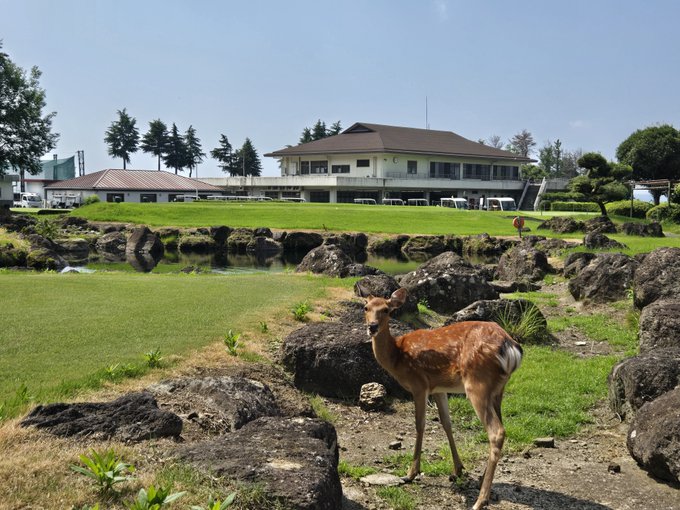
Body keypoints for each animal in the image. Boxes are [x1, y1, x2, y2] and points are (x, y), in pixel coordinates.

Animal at [362, 288, 523, 510]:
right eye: (366, 307)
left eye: (386, 309)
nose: (372, 327)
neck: (397, 357)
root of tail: (511, 348)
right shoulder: (439, 388)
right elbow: (446, 423)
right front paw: (458, 469)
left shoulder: (419, 384)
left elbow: (420, 424)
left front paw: (410, 473)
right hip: (498, 390)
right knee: (500, 427)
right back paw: (482, 482)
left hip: (477, 383)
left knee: (496, 432)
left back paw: (480, 500)